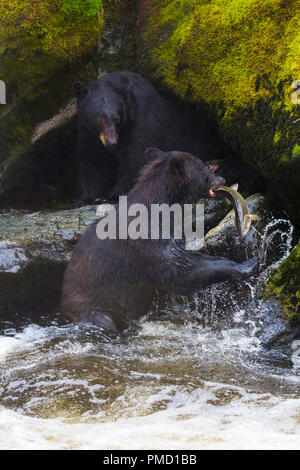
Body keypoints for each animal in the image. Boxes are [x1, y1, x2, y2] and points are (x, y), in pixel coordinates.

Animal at [61, 149, 258, 332]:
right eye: (205, 168)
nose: (222, 179)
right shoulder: (148, 241)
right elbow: (179, 271)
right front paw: (246, 264)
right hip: (94, 309)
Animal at [73, 70, 230, 206]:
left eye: (116, 117)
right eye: (100, 118)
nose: (111, 143)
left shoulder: (142, 123)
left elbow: (134, 158)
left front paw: (111, 197)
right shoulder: (88, 133)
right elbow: (93, 161)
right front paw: (86, 198)